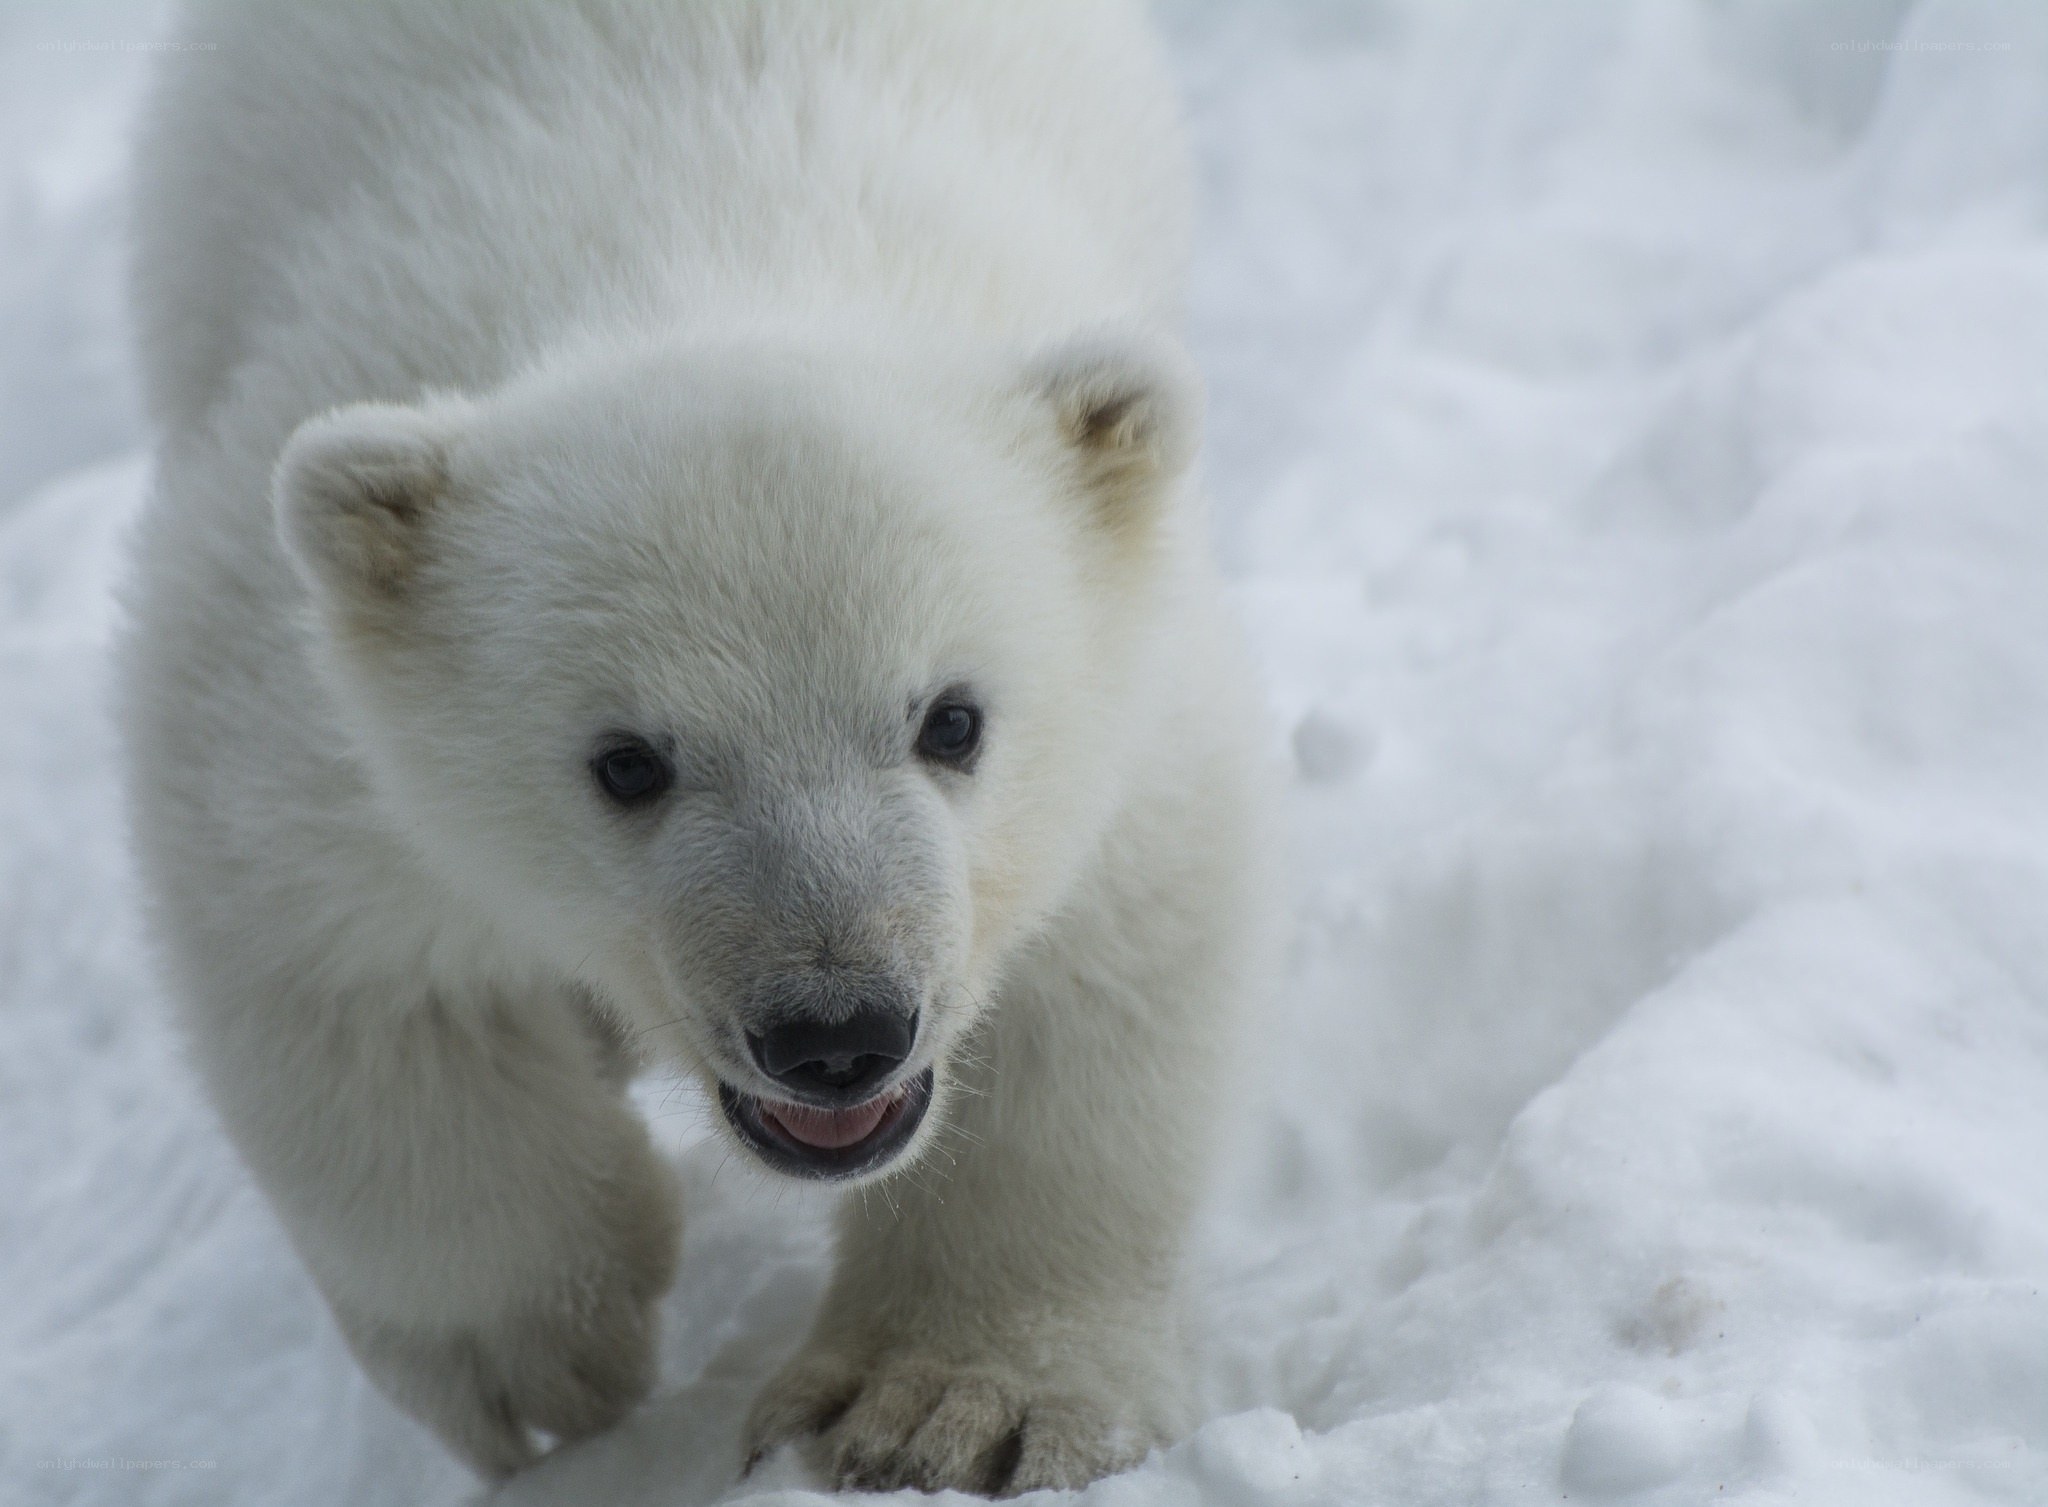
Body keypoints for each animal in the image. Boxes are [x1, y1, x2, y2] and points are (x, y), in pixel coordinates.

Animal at [118, 0, 1274, 1495]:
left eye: (951, 718)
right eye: (627, 761)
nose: (835, 1031)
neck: (711, 245)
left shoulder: (1121, 693)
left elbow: (1107, 962)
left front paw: (941, 1405)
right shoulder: (299, 702)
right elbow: (350, 971)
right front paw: (545, 1358)